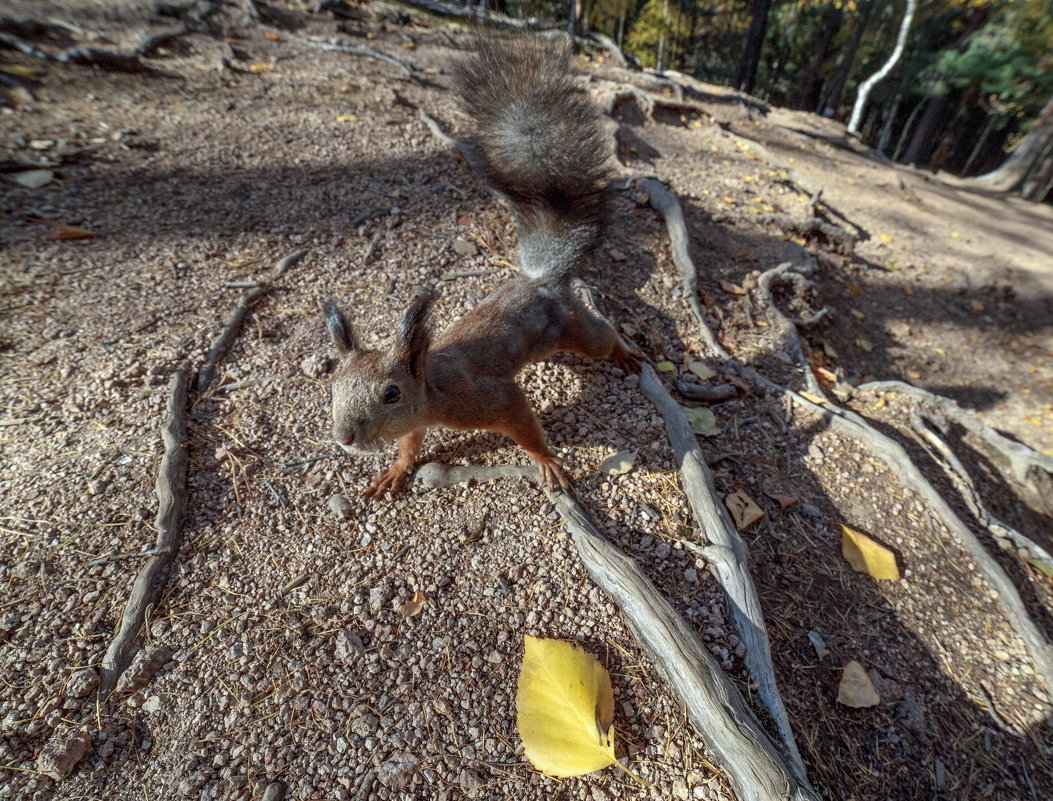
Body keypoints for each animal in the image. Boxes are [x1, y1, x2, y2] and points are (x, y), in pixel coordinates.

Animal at [326, 42, 640, 501]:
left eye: (391, 393)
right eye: (332, 386)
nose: (344, 437)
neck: (432, 389)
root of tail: (540, 277)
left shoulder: (486, 397)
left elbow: (522, 421)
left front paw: (546, 460)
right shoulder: (417, 424)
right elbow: (409, 444)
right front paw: (395, 470)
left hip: (574, 328)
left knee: (603, 336)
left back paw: (624, 354)